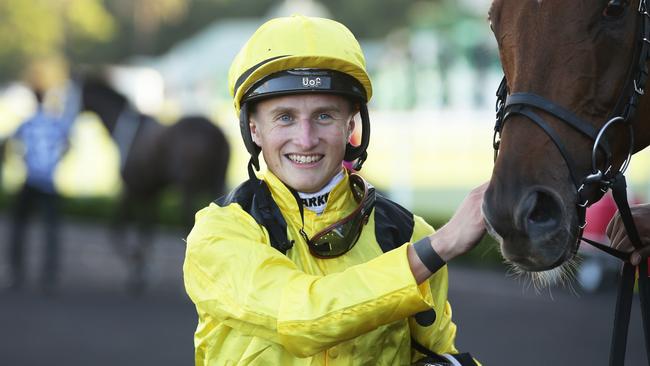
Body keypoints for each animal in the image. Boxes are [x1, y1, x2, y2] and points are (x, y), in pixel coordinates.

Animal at [81, 76, 229, 294]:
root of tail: (216, 131)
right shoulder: (150, 192)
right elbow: (146, 230)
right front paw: (144, 269)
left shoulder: (131, 189)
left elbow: (116, 231)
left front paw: (137, 267)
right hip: (216, 182)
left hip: (188, 186)